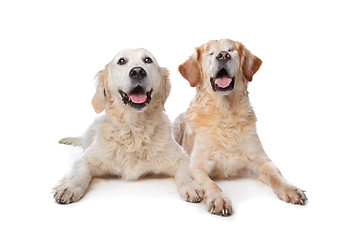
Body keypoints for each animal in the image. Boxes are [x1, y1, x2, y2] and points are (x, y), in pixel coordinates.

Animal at [54, 48, 204, 204]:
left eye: (148, 60)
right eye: (121, 61)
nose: (138, 71)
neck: (134, 129)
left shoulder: (181, 157)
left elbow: (185, 173)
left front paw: (191, 186)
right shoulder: (85, 159)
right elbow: (80, 173)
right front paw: (69, 188)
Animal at [174, 39, 306, 216]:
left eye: (231, 50)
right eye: (210, 53)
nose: (223, 55)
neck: (226, 113)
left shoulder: (262, 161)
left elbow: (276, 176)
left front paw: (290, 189)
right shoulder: (196, 166)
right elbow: (211, 184)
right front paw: (219, 199)